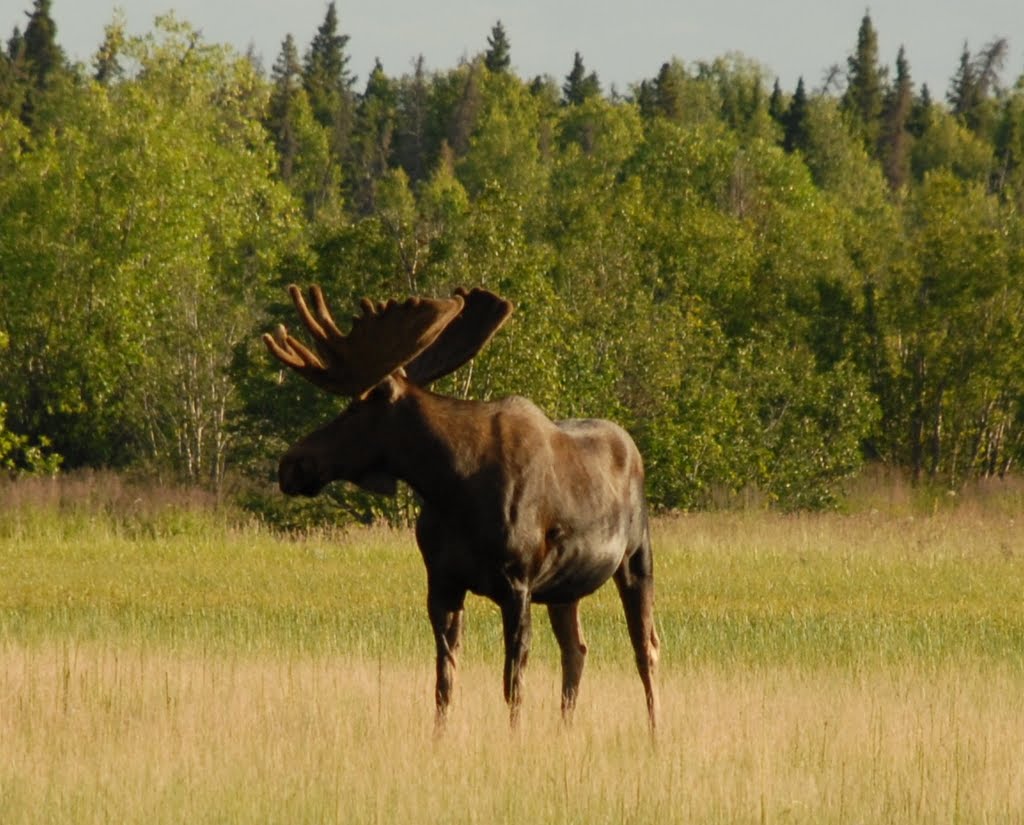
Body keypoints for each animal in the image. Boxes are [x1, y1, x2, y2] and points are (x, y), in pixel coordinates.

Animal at [264, 286, 659, 732]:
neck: (453, 486)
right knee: (577, 649)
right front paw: (439, 736)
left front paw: (514, 736)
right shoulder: (442, 581)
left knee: (645, 648)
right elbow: (444, 679)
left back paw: (654, 731)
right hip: (564, 587)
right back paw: (565, 729)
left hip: (636, 557)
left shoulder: (517, 582)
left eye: (352, 408)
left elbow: (512, 680)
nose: (291, 464)